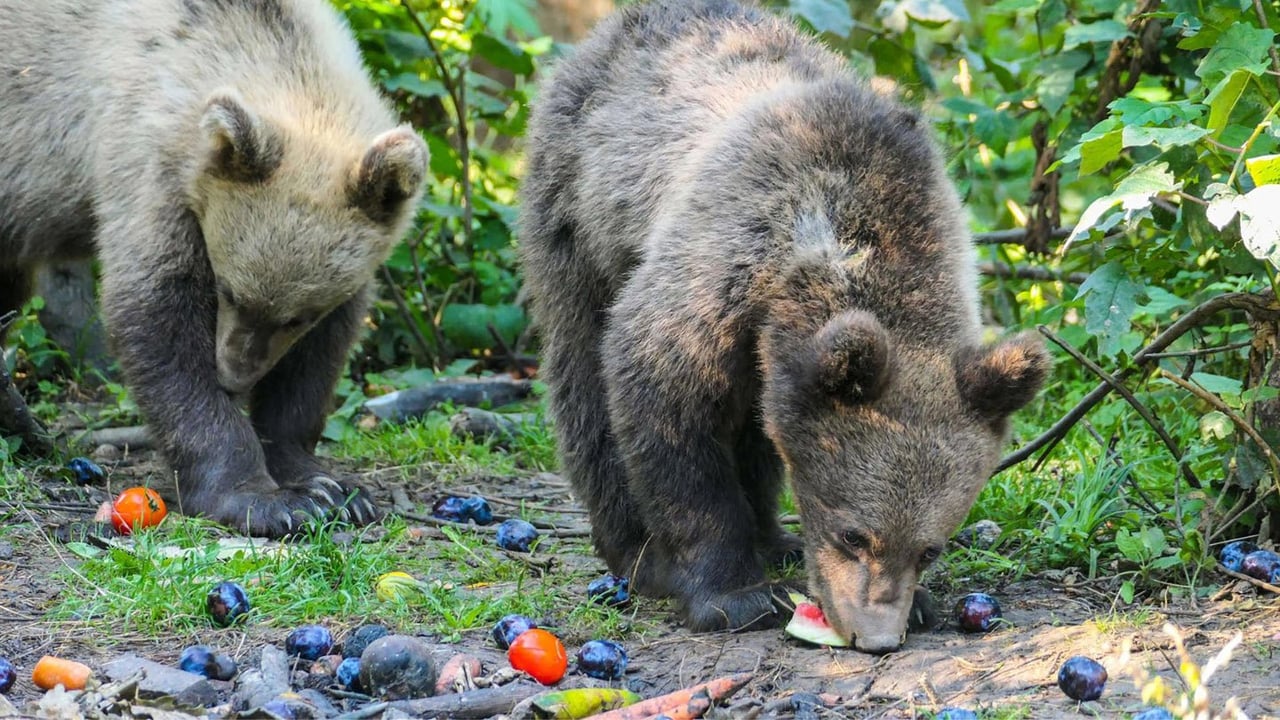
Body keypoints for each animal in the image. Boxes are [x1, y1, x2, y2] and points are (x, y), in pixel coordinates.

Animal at [514, 0, 1044, 650]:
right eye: (853, 533)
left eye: (929, 549)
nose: (875, 635)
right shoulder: (715, 269)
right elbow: (665, 408)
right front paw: (730, 594)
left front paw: (919, 603)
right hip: (580, 216)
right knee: (583, 379)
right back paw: (635, 553)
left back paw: (776, 538)